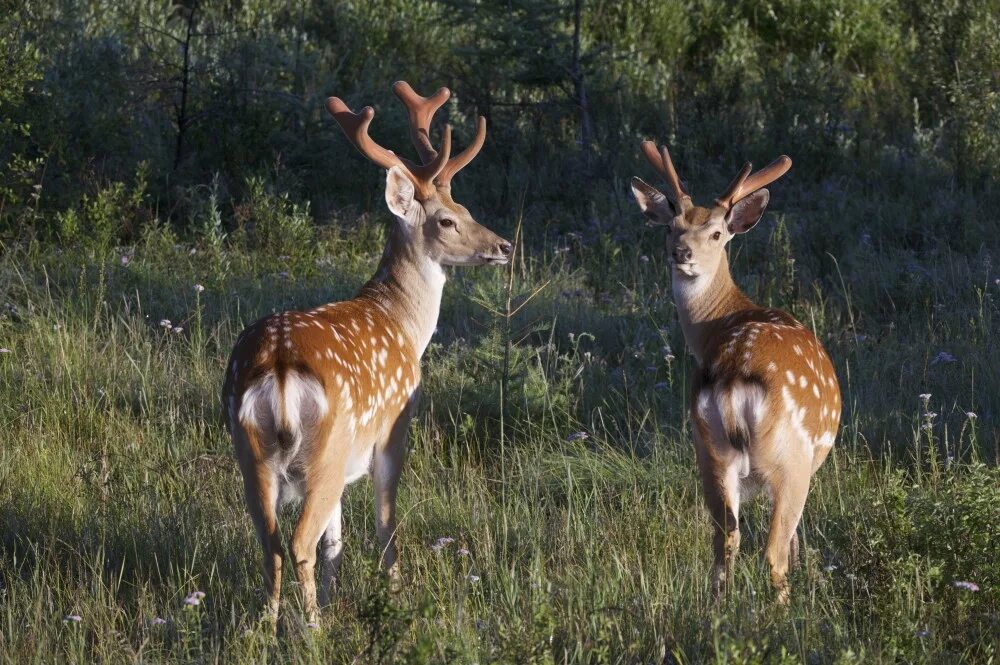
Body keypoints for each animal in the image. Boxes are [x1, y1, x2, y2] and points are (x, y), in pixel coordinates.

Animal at [223, 80, 512, 624]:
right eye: (447, 220)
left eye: (466, 210)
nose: (504, 246)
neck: (402, 323)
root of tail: (279, 367)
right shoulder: (394, 427)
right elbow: (385, 524)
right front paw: (395, 596)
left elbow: (336, 542)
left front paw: (336, 598)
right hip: (327, 449)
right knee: (298, 542)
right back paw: (312, 629)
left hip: (252, 452)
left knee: (272, 544)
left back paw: (267, 627)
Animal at [632, 139, 844, 600]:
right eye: (671, 227)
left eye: (715, 233)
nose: (681, 253)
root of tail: (733, 381)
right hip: (790, 459)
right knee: (772, 550)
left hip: (706, 447)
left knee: (724, 539)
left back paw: (717, 605)